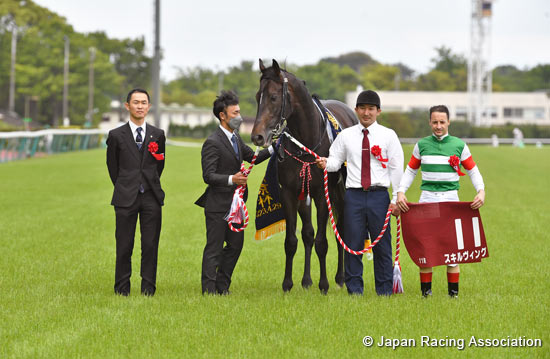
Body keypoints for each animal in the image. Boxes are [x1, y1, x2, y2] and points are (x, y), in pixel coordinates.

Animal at [253, 59, 358, 294]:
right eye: (257, 97)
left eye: (273, 97)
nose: (257, 136)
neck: (306, 141)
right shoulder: (290, 193)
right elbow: (293, 240)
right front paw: (288, 283)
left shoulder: (321, 194)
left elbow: (322, 242)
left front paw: (324, 284)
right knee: (308, 234)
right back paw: (307, 280)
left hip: (339, 192)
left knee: (340, 230)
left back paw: (340, 277)